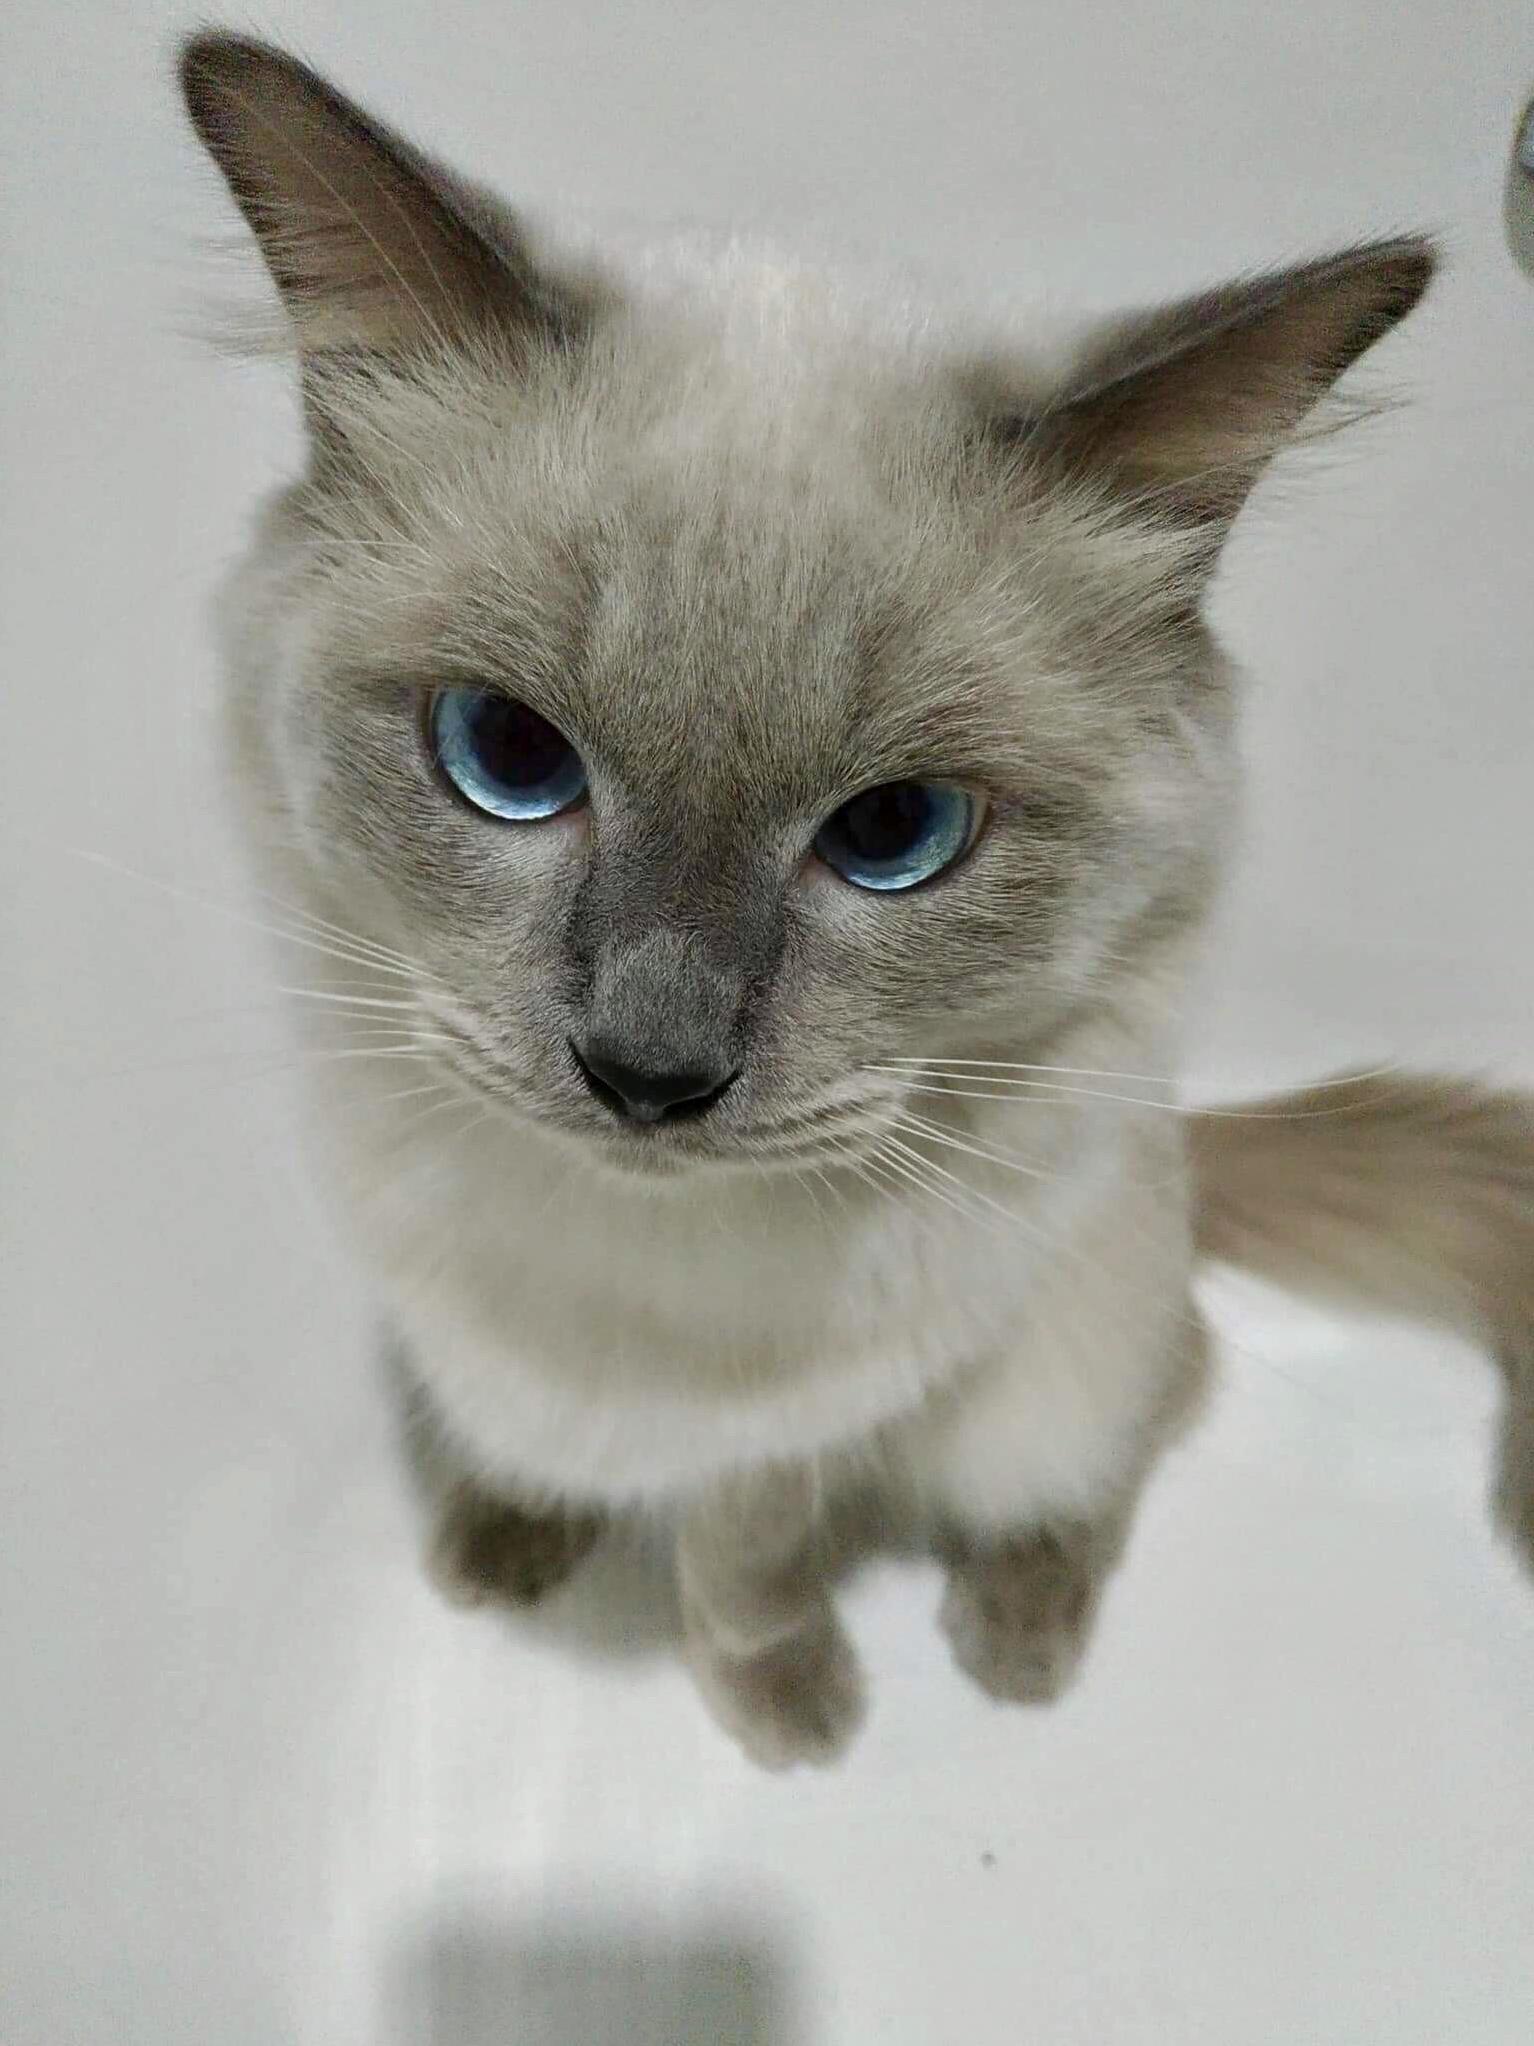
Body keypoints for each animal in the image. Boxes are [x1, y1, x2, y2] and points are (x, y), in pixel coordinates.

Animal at [173, 24, 1529, 1767]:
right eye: (507, 756)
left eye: (894, 832)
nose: (647, 1075)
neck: (610, 1274)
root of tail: (1169, 1139)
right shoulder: (450, 1322)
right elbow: (505, 1444)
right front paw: (504, 1546)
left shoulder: (801, 1433)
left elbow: (741, 1572)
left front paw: (787, 1713)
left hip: (1048, 1368)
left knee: (1156, 1401)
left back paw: (1015, 1639)